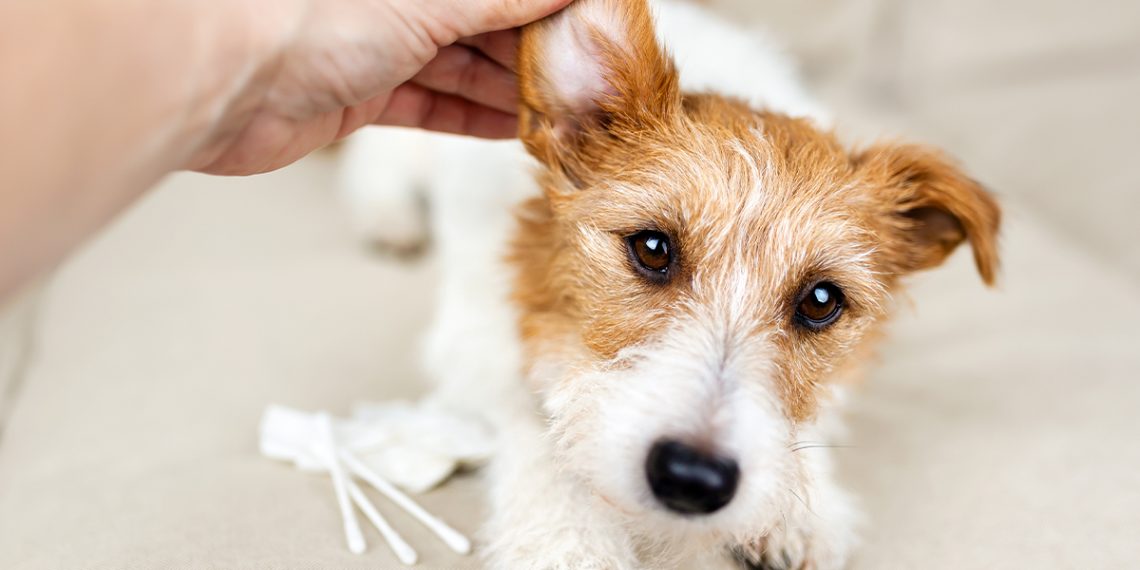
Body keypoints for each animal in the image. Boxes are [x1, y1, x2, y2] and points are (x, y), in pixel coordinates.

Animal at [335, 2, 998, 567]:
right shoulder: (475, 344)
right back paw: (388, 217)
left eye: (820, 300)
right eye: (652, 248)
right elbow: (539, 434)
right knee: (376, 159)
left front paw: (802, 514)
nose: (693, 479)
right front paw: (570, 541)